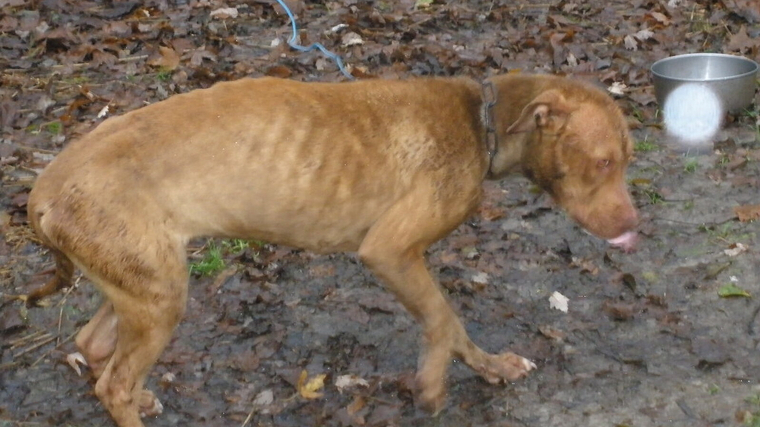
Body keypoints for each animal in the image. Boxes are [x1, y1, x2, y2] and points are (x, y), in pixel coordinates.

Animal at [23, 74, 640, 427]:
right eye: (605, 161)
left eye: (627, 159)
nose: (636, 227)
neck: (482, 118)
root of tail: (44, 189)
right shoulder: (390, 252)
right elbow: (444, 320)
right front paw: (433, 385)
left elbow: (454, 326)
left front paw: (490, 367)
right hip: (157, 298)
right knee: (115, 385)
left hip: (143, 285)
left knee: (93, 346)